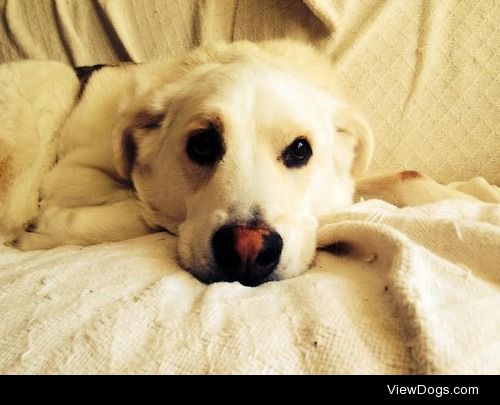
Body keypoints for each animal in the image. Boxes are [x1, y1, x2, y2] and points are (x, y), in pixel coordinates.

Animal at [0, 38, 376, 284]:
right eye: (203, 144)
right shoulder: (69, 175)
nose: (248, 252)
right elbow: (143, 211)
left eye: (300, 149)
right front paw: (47, 226)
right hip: (50, 92)